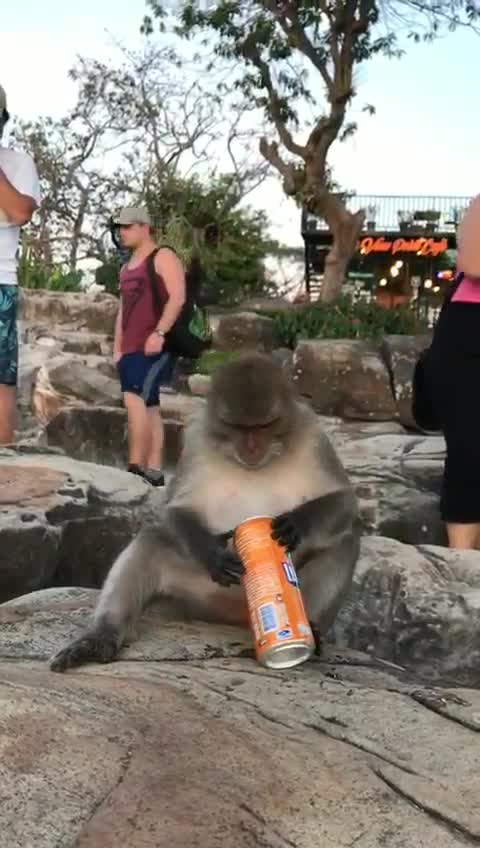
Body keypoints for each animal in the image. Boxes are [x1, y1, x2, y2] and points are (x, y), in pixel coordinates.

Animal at [50, 352, 360, 672]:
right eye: (238, 427)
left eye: (264, 426)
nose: (252, 448)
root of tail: (237, 614)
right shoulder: (197, 439)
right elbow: (173, 509)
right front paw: (213, 552)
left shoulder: (312, 434)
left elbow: (345, 501)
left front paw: (296, 524)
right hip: (200, 595)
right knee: (152, 540)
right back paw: (100, 636)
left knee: (346, 542)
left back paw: (310, 630)